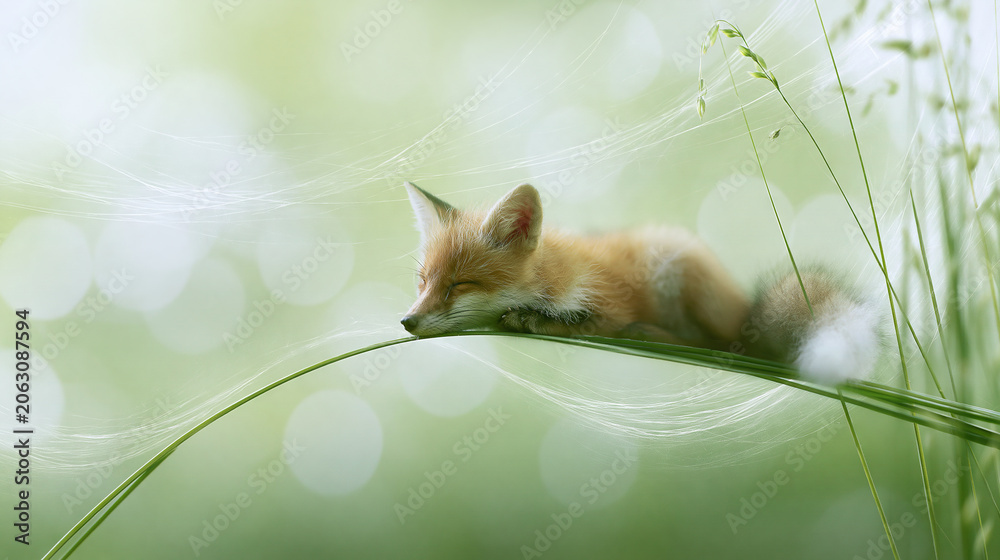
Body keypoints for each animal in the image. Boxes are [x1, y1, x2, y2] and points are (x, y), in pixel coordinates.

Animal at [400, 181, 881, 385]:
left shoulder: (610, 304)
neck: (554, 274)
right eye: (423, 282)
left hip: (685, 273)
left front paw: (535, 320)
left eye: (459, 284)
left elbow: (588, 324)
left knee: (726, 347)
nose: (407, 321)